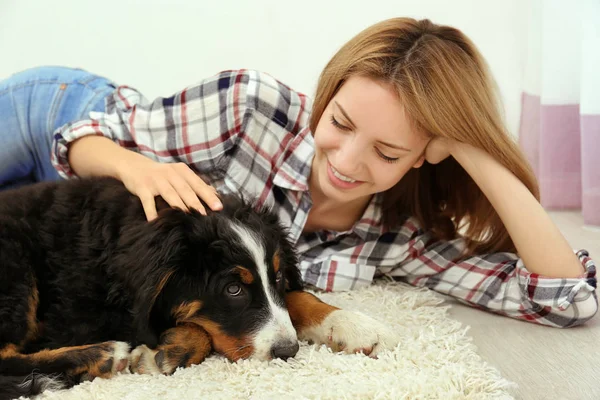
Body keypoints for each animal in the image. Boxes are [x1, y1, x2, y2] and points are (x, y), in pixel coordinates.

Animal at [0, 177, 398, 398]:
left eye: (279, 276)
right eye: (233, 290)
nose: (287, 351)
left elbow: (297, 298)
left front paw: (353, 325)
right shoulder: (81, 312)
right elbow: (195, 328)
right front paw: (166, 350)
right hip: (15, 267)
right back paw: (102, 354)